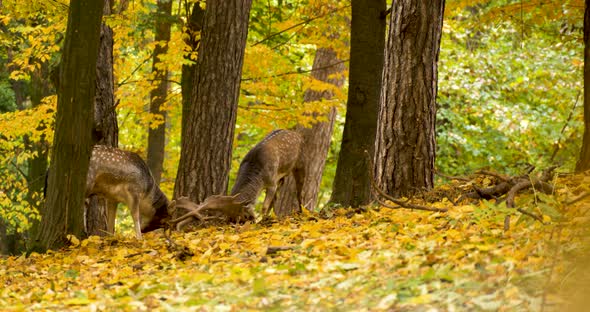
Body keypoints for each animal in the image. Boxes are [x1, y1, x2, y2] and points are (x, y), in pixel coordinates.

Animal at [170, 128, 306, 230]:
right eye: (231, 218)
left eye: (244, 216)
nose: (247, 223)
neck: (259, 177)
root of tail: (298, 135)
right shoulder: (274, 181)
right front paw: (265, 218)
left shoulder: (271, 181)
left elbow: (264, 206)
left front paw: (261, 221)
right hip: (282, 175)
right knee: (279, 194)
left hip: (300, 164)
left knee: (299, 191)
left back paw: (302, 211)